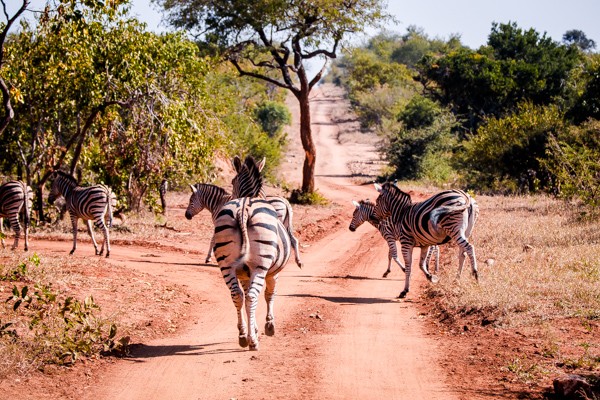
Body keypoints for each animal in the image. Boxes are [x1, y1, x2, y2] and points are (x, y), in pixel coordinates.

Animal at [213, 156, 292, 350]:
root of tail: (243, 208)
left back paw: (242, 336)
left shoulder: (243, 273)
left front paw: (252, 329)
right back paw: (253, 342)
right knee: (252, 295)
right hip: (260, 265)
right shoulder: (272, 273)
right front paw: (268, 326)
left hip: (226, 265)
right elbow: (269, 294)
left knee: (238, 295)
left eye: (232, 182)